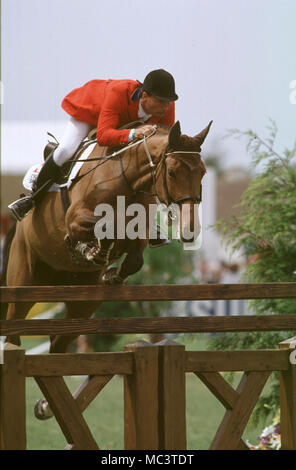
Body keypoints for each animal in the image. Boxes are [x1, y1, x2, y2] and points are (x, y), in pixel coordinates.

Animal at [3, 119, 212, 354]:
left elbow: (135, 259)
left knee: (59, 341)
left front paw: (111, 274)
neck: (127, 180)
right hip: (23, 282)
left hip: (83, 303)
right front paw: (88, 249)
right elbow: (108, 225)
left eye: (203, 172)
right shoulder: (75, 220)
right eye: (172, 173)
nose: (190, 230)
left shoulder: (140, 232)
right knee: (15, 329)